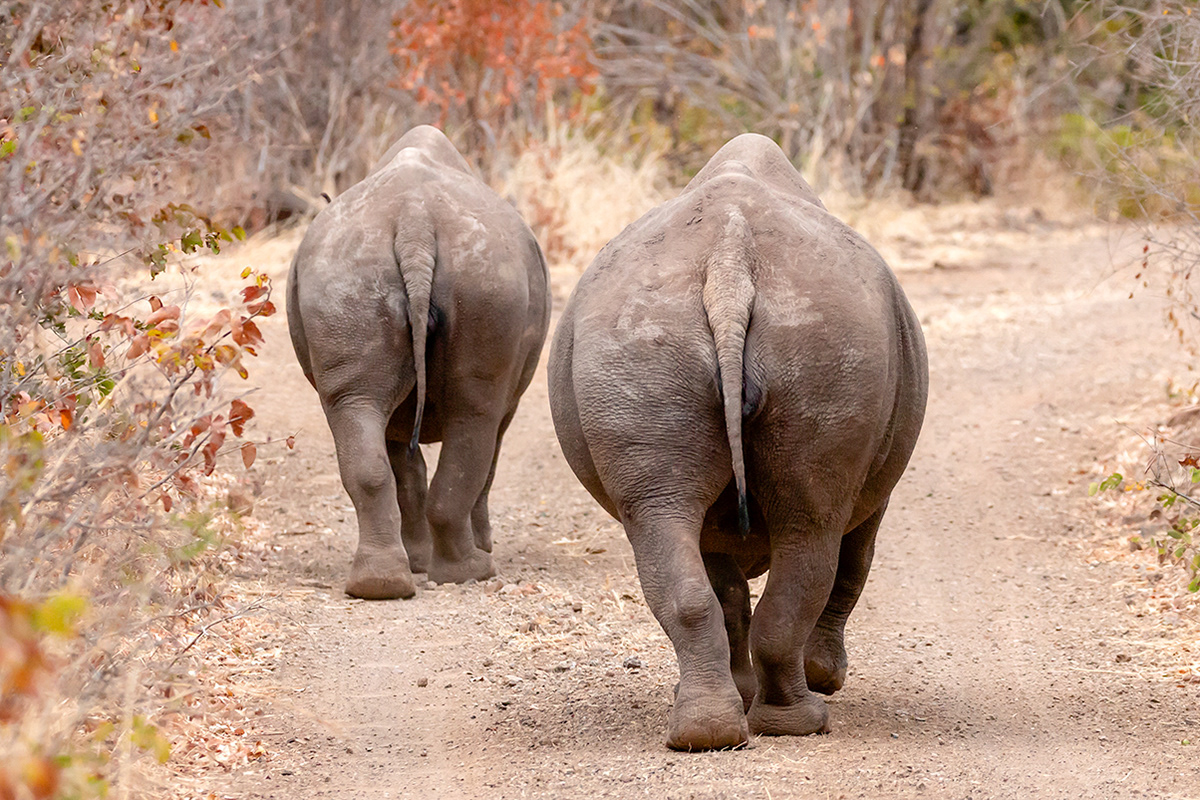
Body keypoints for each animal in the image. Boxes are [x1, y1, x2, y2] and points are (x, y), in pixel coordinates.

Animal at [287, 126, 550, 600]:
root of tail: (414, 222)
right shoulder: (513, 401)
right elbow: (486, 463)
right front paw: (469, 549)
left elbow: (405, 469)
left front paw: (417, 561)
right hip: (484, 273)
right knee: (476, 417)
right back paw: (472, 570)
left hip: (348, 271)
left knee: (357, 406)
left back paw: (379, 586)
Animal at [548, 134, 927, 750]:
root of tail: (729, 260)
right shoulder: (878, 494)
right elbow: (853, 564)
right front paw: (825, 677)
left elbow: (726, 591)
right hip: (822, 329)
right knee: (812, 528)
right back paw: (800, 720)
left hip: (642, 335)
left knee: (665, 517)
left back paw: (706, 734)